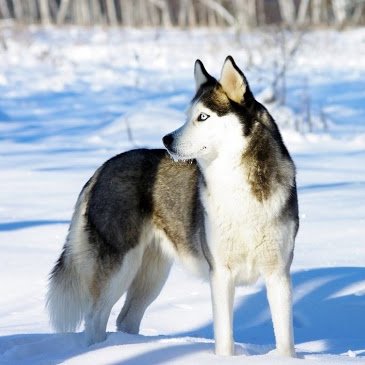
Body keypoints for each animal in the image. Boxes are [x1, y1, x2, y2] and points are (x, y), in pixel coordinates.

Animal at [47, 56, 298, 356]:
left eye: (203, 116)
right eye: (187, 115)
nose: (166, 139)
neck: (237, 189)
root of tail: (103, 168)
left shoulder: (278, 274)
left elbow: (285, 340)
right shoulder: (220, 273)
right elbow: (225, 339)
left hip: (152, 273)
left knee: (125, 318)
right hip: (119, 267)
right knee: (95, 318)